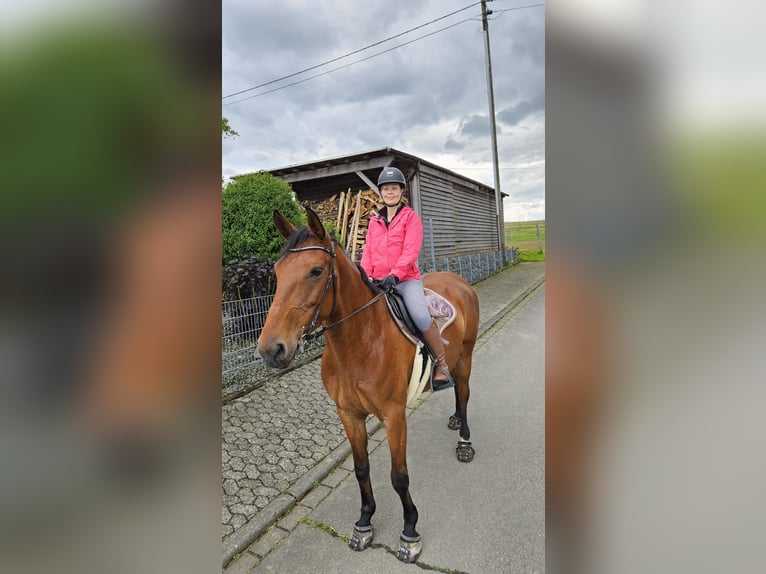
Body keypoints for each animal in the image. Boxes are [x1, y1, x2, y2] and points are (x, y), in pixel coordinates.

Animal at [257, 207, 480, 562]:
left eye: (316, 271)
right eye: (277, 272)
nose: (271, 350)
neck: (360, 342)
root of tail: (458, 281)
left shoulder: (394, 416)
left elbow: (399, 476)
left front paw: (409, 532)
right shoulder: (348, 414)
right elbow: (361, 468)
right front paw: (364, 523)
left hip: (465, 360)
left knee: (464, 393)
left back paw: (464, 442)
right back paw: (456, 420)